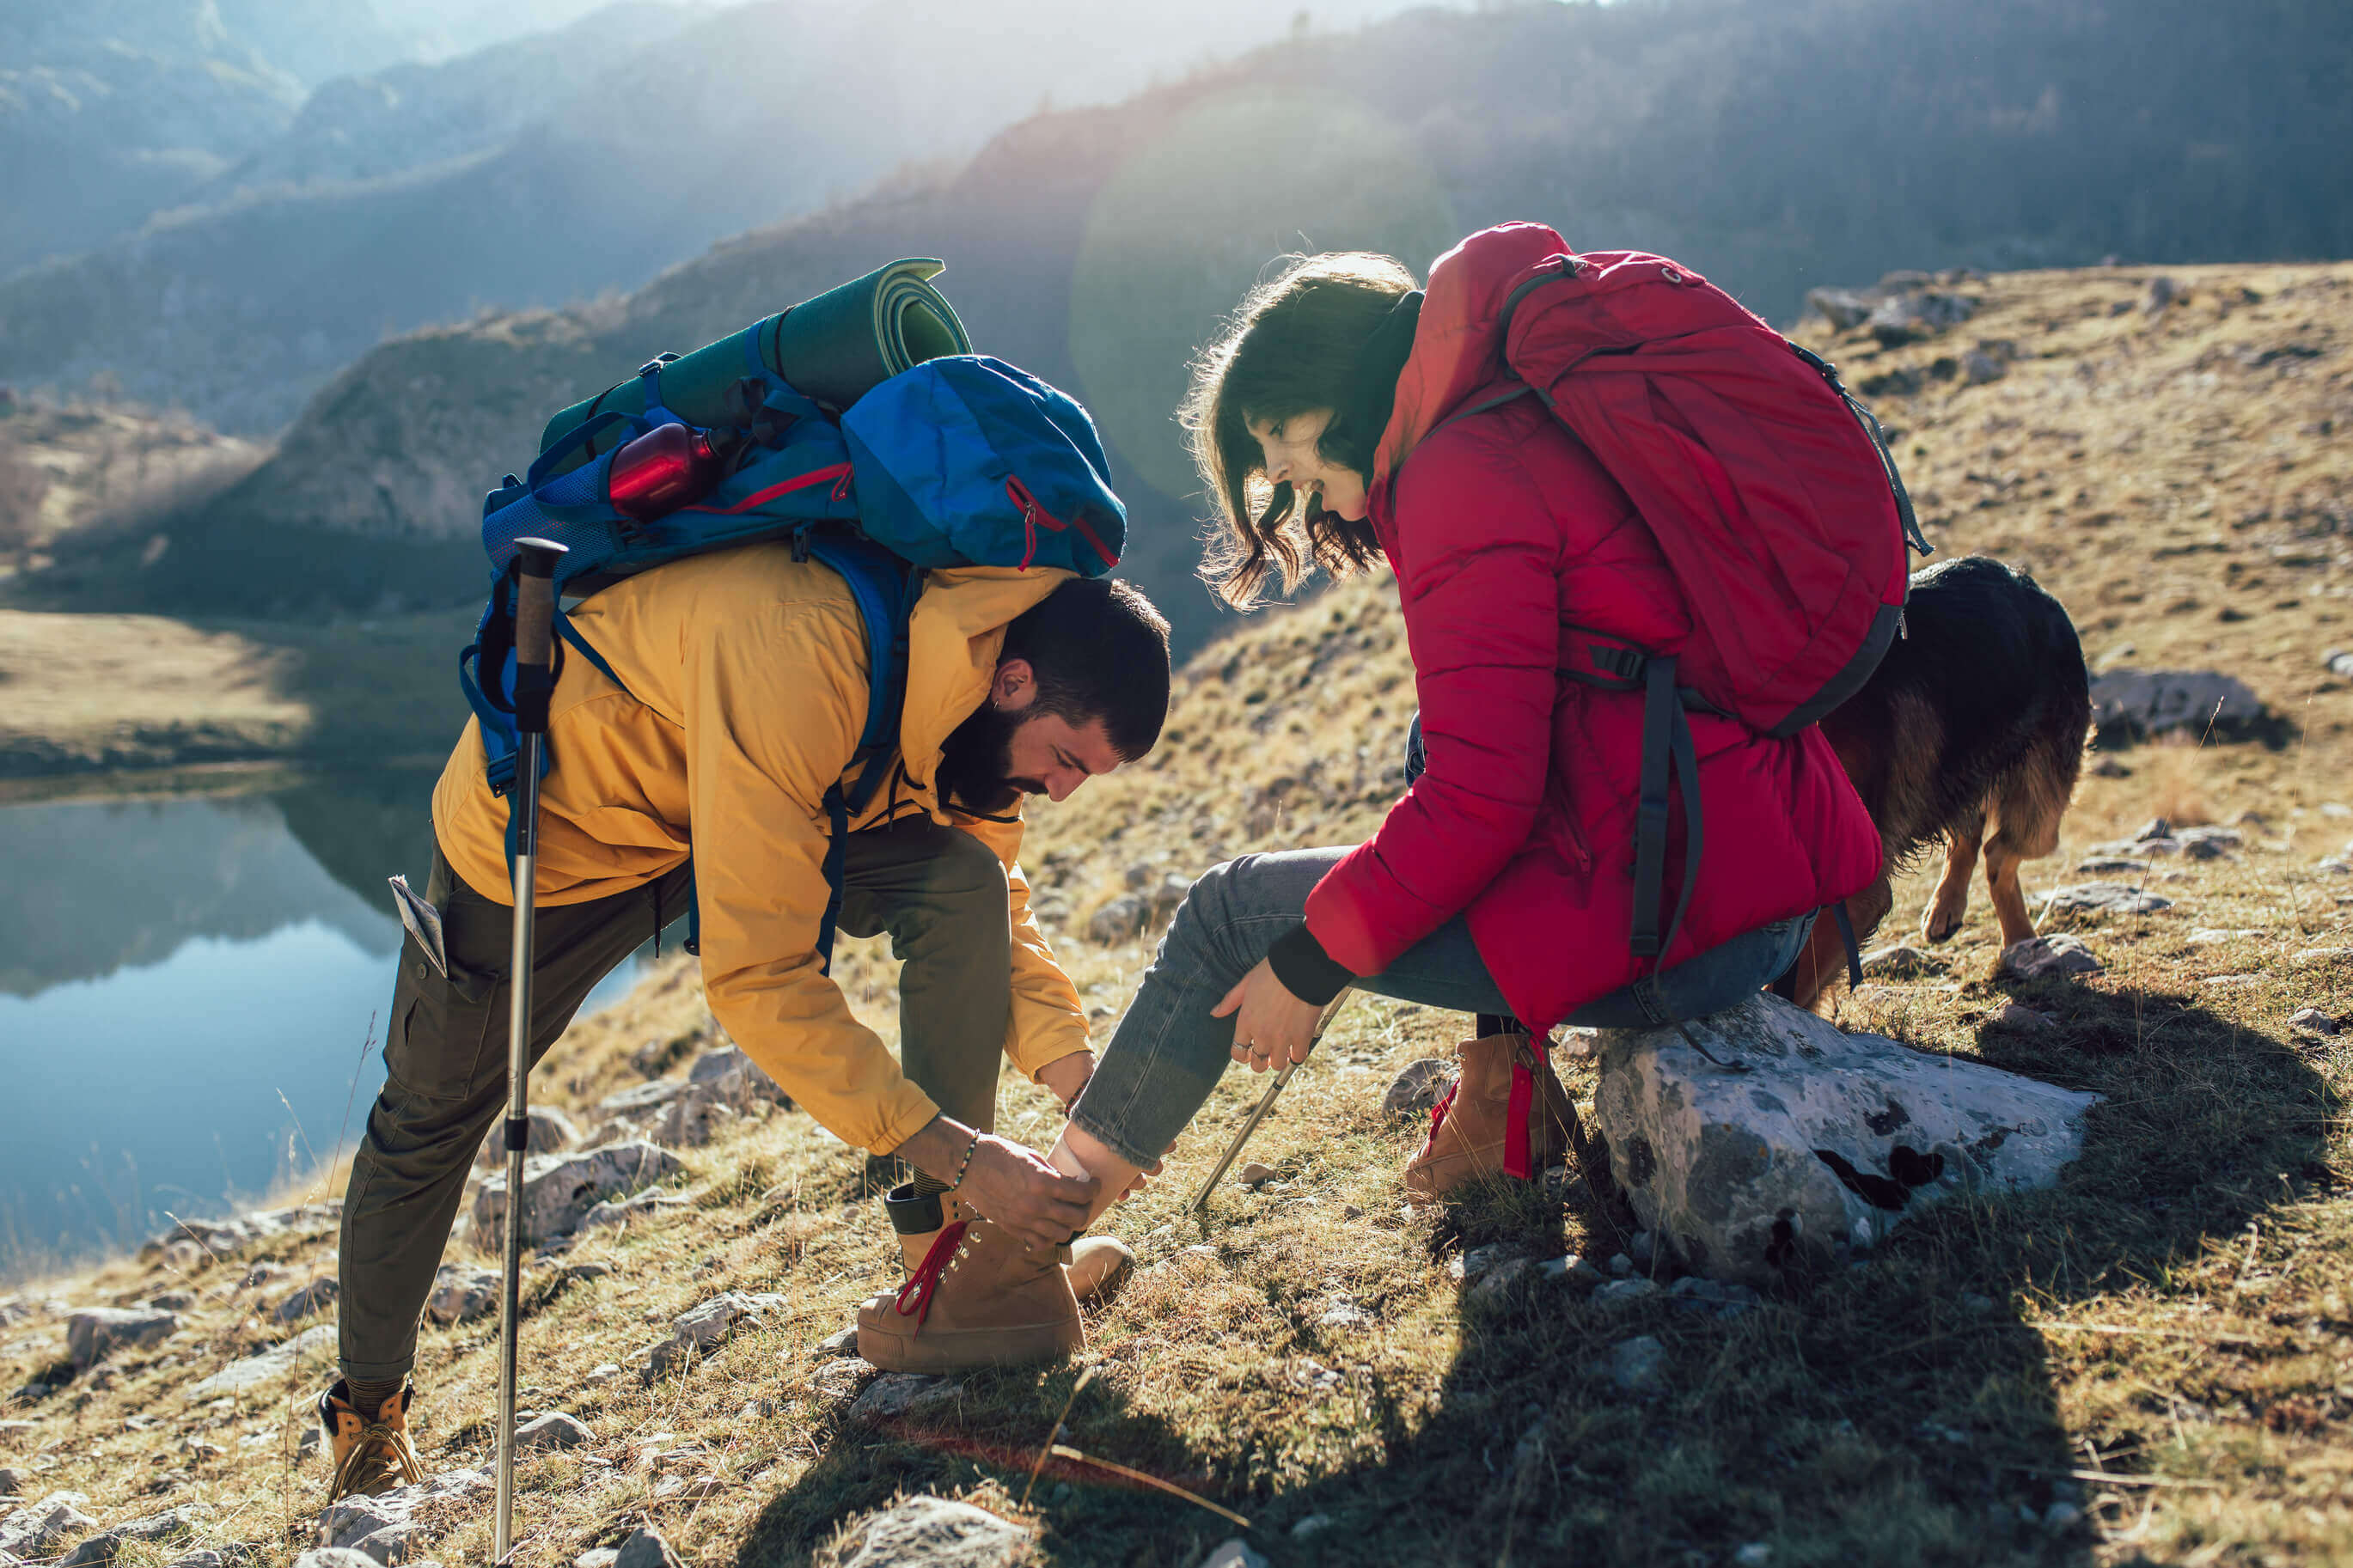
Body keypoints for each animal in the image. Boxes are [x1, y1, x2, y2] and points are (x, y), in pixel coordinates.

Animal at [1778, 557, 2099, 1010]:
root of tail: (2026, 582)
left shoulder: (1857, 892)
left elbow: (1793, 984)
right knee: (1969, 830)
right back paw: (1950, 907)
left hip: (2041, 811)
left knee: (2000, 851)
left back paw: (2019, 938)